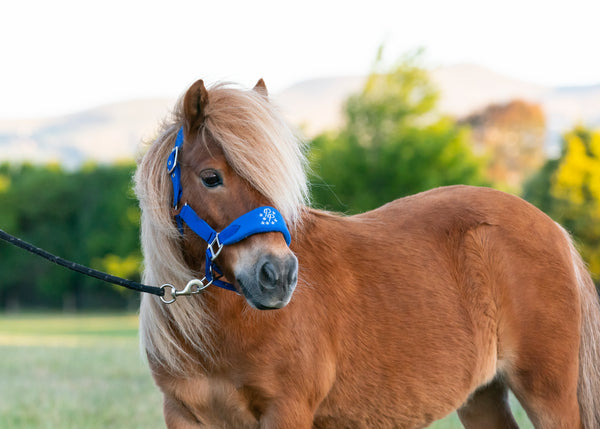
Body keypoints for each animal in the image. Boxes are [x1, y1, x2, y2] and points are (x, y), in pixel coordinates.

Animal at [135, 78, 600, 426]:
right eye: (211, 178)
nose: (279, 275)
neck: (222, 331)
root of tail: (553, 230)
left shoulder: (287, 412)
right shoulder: (183, 415)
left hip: (548, 393)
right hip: (482, 394)